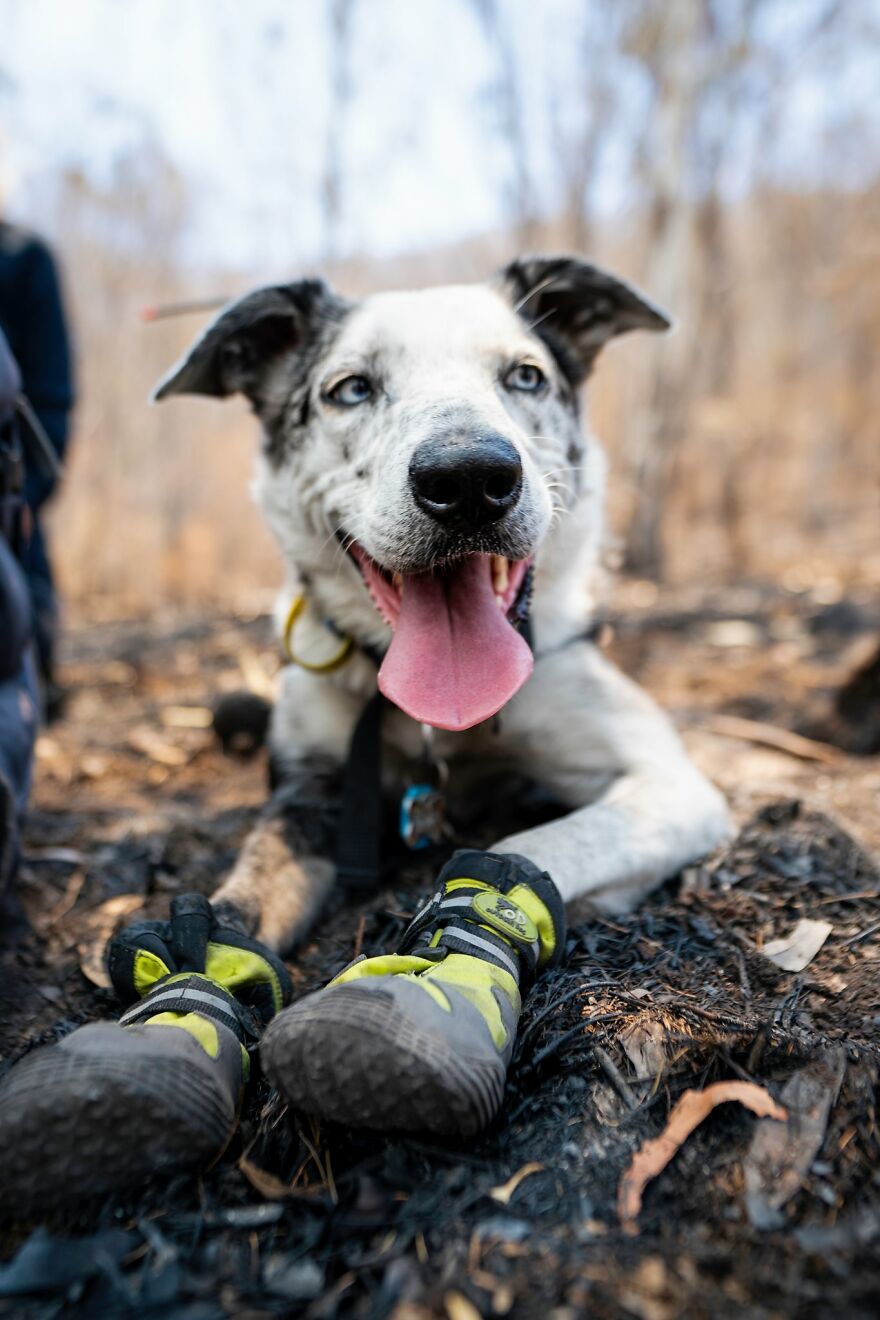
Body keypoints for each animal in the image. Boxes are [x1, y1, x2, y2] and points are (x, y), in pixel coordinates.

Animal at [155, 254, 733, 950]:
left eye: (526, 375)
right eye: (351, 389)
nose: (468, 480)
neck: (440, 725)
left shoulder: (669, 786)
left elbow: (533, 846)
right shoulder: (309, 792)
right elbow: (246, 895)